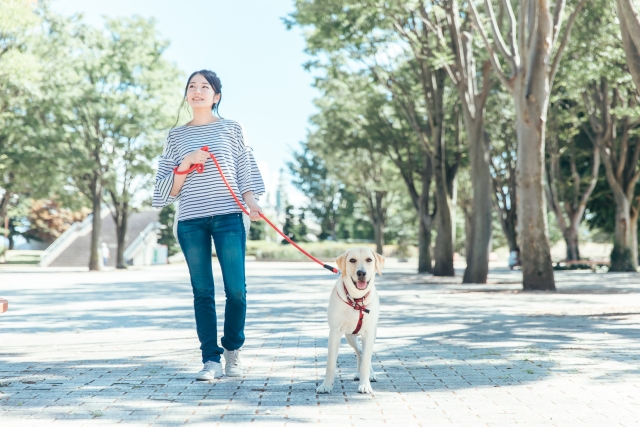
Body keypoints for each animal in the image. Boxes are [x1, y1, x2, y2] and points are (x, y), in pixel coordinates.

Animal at [316, 249, 384, 396]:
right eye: (352, 260)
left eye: (369, 260)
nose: (361, 273)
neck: (356, 300)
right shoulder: (334, 333)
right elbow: (330, 363)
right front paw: (326, 385)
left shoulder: (368, 334)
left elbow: (366, 362)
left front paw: (365, 385)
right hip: (350, 337)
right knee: (359, 352)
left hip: (372, 334)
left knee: (365, 354)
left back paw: (370, 375)